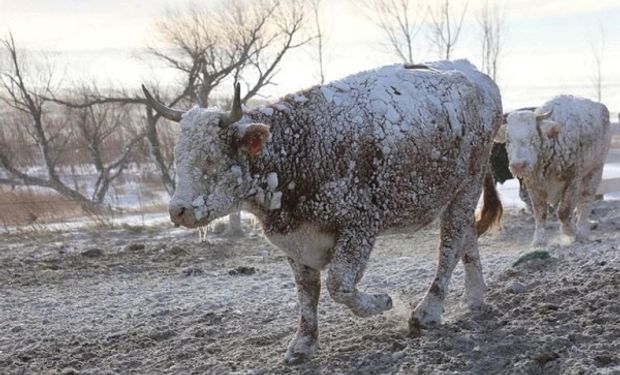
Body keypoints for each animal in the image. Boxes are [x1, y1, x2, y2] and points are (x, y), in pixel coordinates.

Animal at [143, 59, 502, 364]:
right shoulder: (297, 241)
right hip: (459, 194)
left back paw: (428, 311)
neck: (298, 148)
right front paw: (303, 343)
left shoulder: (359, 225)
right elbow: (307, 292)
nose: (179, 210)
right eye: (178, 157)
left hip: (465, 187)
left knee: (450, 245)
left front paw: (382, 302)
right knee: (467, 236)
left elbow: (338, 285)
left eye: (211, 159)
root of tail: (475, 75)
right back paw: (474, 298)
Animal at [494, 95, 612, 245]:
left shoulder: (572, 180)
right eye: (508, 141)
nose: (518, 165)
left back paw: (582, 231)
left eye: (534, 138)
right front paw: (538, 239)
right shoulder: (533, 186)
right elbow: (540, 213)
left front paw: (570, 231)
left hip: (595, 170)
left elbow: (564, 211)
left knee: (585, 200)